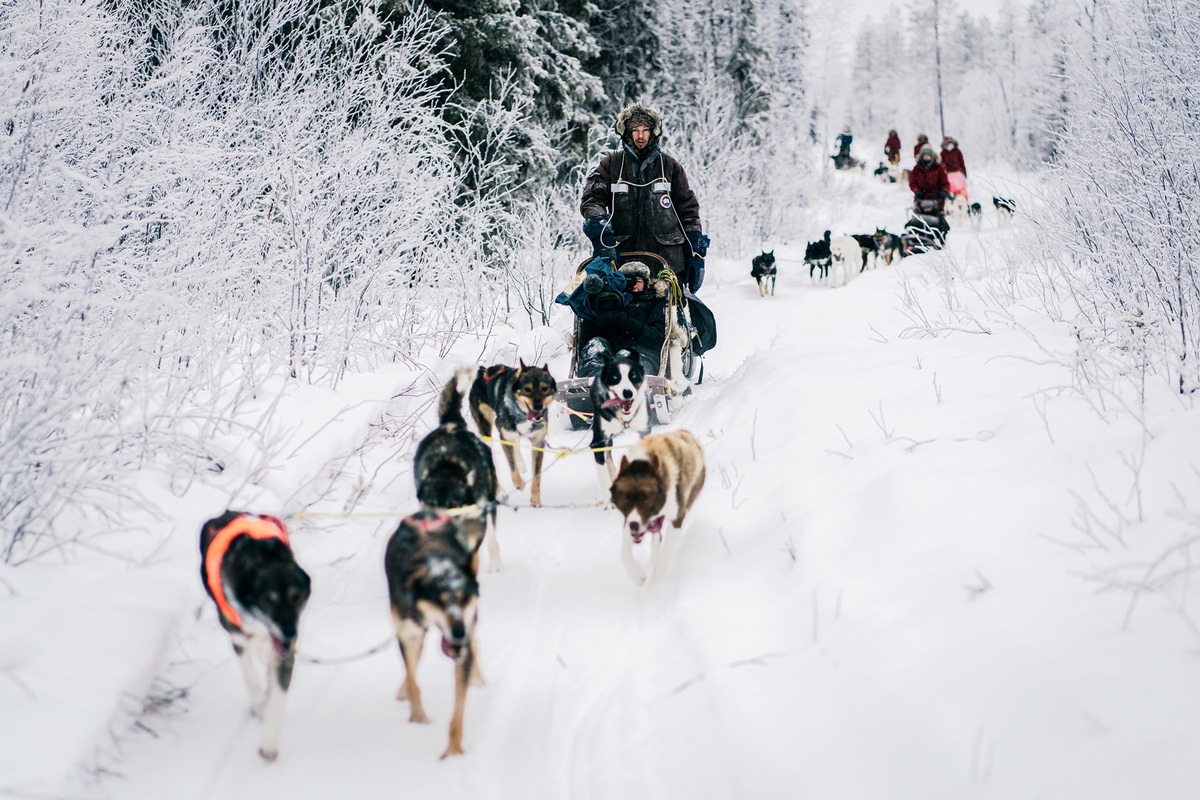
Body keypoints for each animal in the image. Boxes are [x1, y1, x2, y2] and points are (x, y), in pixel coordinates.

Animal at [199, 510, 309, 762]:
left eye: (296, 597)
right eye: (269, 600)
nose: (290, 634)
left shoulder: (283, 652)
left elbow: (277, 694)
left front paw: (268, 742)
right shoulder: (239, 637)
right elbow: (250, 674)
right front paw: (259, 704)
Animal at [381, 510, 480, 762]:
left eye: (464, 598)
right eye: (440, 601)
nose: (458, 633)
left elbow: (458, 710)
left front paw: (453, 751)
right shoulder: (408, 634)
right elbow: (413, 679)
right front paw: (418, 718)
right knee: (413, 666)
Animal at [470, 362, 559, 506]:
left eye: (544, 388)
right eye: (527, 389)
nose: (538, 406)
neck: (522, 414)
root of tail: (483, 372)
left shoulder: (538, 442)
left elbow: (536, 476)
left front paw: (536, 500)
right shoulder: (505, 437)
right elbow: (512, 468)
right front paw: (519, 483)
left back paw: (521, 463)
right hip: (486, 431)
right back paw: (500, 493)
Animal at [609, 431, 700, 587]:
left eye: (646, 499)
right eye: (626, 500)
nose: (634, 526)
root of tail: (685, 432)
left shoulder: (676, 518)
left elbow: (665, 556)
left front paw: (654, 585)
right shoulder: (629, 520)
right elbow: (624, 554)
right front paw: (638, 576)